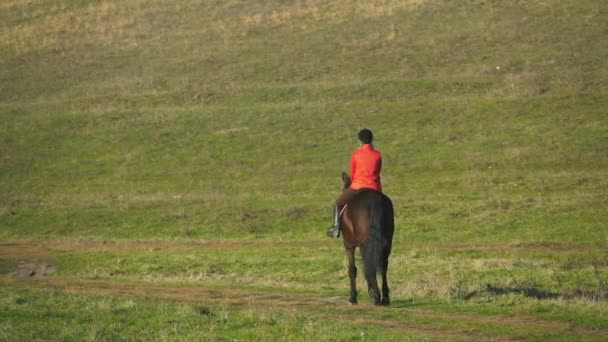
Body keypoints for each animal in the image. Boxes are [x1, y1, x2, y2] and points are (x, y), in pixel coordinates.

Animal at [338, 172, 394, 306]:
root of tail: (375, 201)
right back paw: (385, 297)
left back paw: (375, 295)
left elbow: (352, 269)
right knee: (383, 266)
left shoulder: (349, 244)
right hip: (387, 242)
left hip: (362, 243)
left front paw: (353, 297)